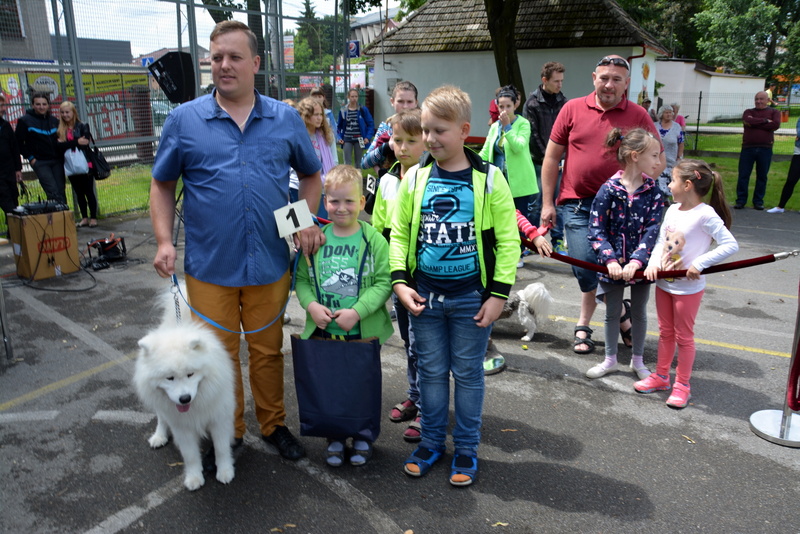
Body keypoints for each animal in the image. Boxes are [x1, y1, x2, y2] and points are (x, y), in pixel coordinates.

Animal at [133, 285, 236, 491]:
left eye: (190, 374)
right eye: (169, 378)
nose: (184, 398)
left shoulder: (219, 418)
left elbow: (221, 448)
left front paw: (225, 471)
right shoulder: (182, 427)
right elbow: (190, 456)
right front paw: (194, 478)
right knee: (161, 418)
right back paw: (159, 436)